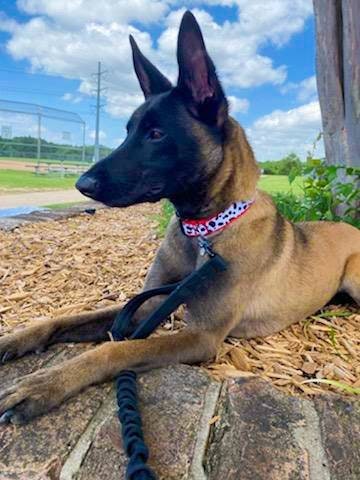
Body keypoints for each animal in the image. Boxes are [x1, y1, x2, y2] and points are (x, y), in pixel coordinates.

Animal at [0, 10, 360, 424]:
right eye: (128, 131)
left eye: (156, 133)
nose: (81, 184)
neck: (204, 232)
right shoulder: (146, 306)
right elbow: (64, 319)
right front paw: (14, 340)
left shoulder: (200, 337)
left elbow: (115, 350)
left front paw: (44, 384)